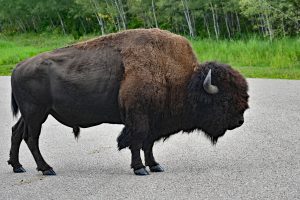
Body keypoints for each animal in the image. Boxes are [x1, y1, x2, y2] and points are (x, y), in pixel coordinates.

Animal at [8, 28, 248, 175]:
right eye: (225, 99)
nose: (240, 121)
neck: (182, 79)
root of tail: (17, 68)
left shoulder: (154, 120)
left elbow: (148, 144)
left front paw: (155, 165)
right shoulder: (139, 116)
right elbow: (137, 140)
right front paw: (140, 168)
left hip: (31, 114)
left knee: (16, 132)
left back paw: (17, 166)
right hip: (37, 113)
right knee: (31, 138)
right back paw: (47, 168)